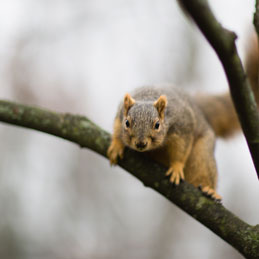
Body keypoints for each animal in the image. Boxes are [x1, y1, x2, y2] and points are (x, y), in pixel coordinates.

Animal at [107, 35, 259, 201]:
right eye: (127, 122)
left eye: (157, 125)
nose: (141, 144)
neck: (148, 97)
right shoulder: (119, 114)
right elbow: (116, 129)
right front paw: (116, 146)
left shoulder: (183, 126)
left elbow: (181, 149)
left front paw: (176, 167)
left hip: (202, 153)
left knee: (203, 168)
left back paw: (210, 190)